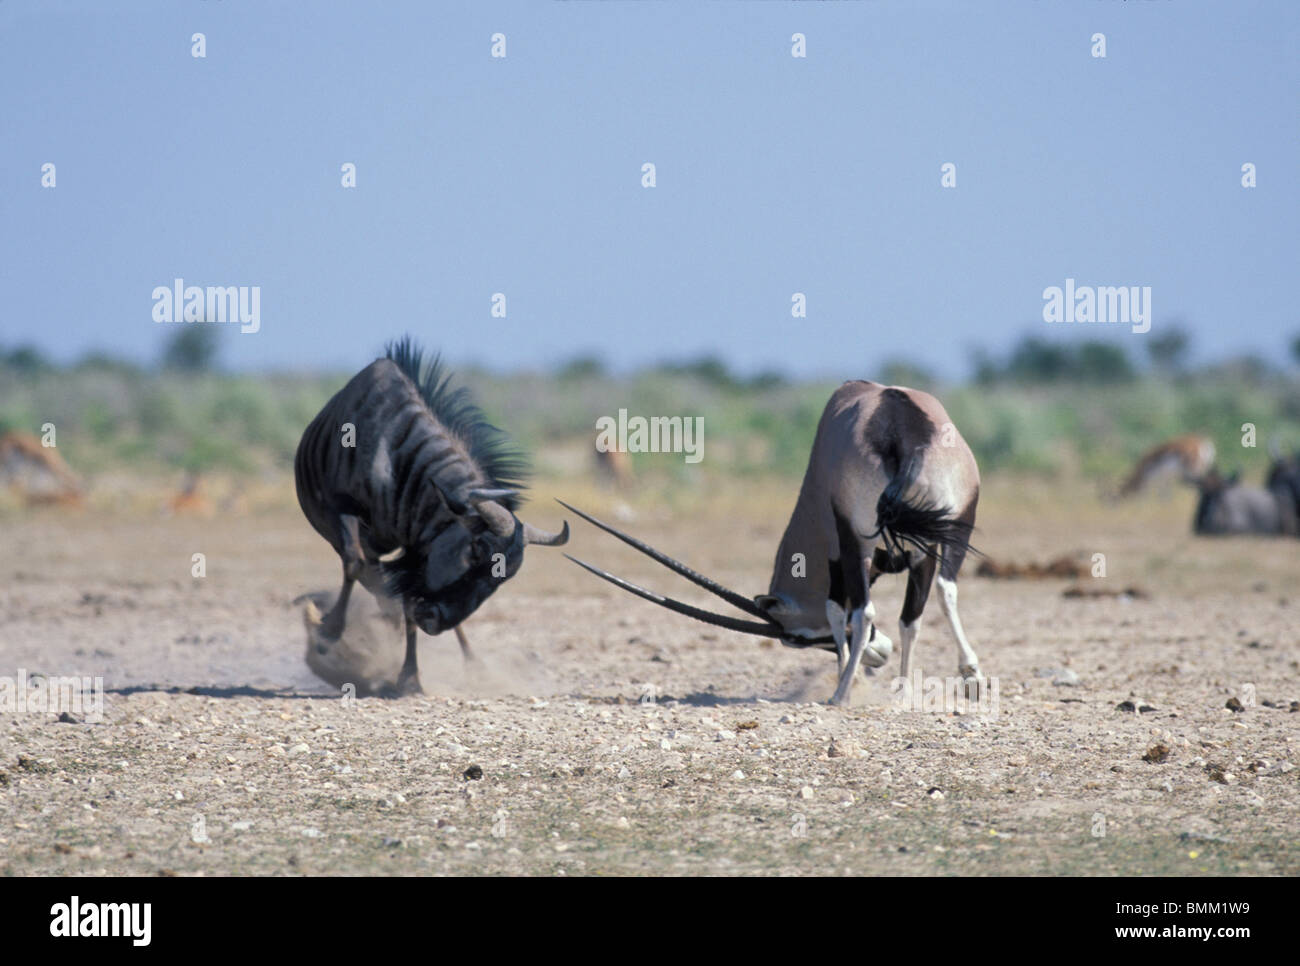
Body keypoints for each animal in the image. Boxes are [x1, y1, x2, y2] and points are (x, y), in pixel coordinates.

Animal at [300, 340, 574, 696]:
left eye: (503, 578)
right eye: (476, 550)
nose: (435, 620)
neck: (394, 455)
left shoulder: (417, 546)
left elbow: (406, 598)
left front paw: (409, 676)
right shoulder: (343, 511)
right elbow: (355, 565)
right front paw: (328, 633)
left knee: (389, 591)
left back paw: (470, 665)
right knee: (370, 575)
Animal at [564, 382, 977, 707]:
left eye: (796, 637)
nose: (881, 654)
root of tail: (897, 427)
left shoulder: (842, 552)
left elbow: (837, 611)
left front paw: (850, 679)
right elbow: (898, 614)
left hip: (871, 542)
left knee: (869, 612)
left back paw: (842, 694)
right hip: (949, 530)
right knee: (935, 597)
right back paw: (944, 681)